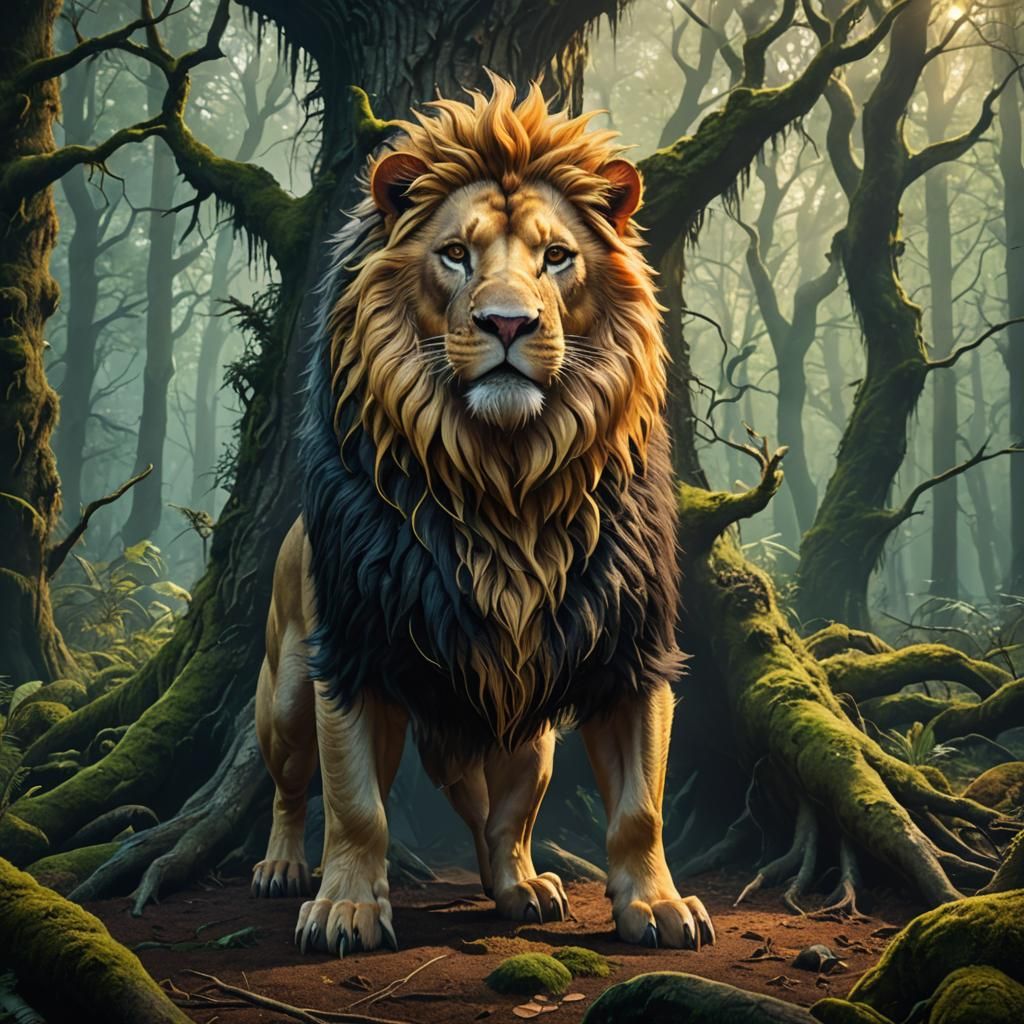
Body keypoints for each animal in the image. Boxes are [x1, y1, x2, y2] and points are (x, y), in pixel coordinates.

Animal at [251, 75, 714, 957]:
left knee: (504, 817)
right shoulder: (351, 657)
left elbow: (638, 808)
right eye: (455, 254)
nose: (507, 323)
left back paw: (521, 886)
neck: (503, 479)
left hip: (523, 732)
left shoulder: (634, 654)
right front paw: (345, 908)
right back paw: (283, 867)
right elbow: (356, 806)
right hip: (288, 694)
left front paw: (659, 905)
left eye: (556, 257)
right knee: (292, 788)